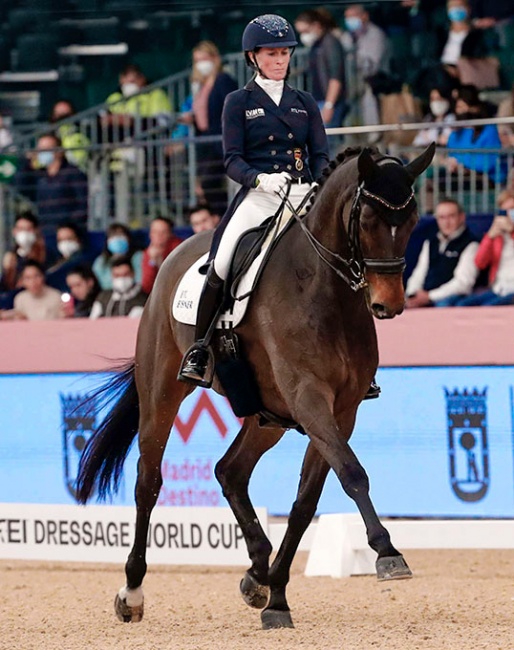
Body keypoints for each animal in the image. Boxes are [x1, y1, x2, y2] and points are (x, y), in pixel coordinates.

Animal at [78, 143, 434, 628]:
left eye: (413, 219)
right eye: (366, 221)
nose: (389, 304)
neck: (324, 289)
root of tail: (174, 255)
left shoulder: (340, 411)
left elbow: (306, 502)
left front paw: (276, 597)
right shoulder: (309, 398)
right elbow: (352, 473)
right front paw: (387, 552)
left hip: (269, 416)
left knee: (230, 470)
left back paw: (257, 573)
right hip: (163, 391)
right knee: (148, 481)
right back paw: (132, 593)